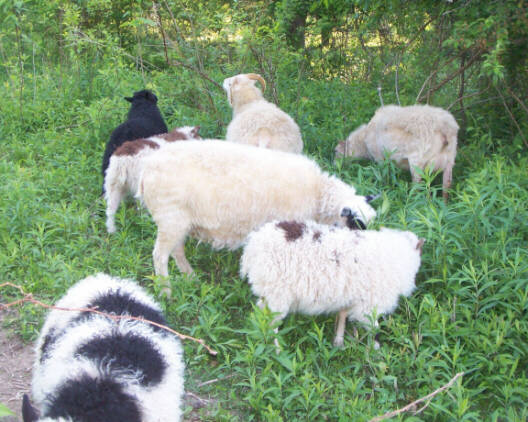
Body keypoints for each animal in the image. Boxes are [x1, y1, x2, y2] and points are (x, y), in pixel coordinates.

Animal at [239, 221, 424, 350]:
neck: (396, 256)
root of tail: (252, 247)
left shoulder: (348, 296)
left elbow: (342, 316)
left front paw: (339, 342)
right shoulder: (368, 305)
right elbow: (374, 328)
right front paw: (376, 350)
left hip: (268, 292)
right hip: (276, 294)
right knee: (271, 322)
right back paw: (277, 349)